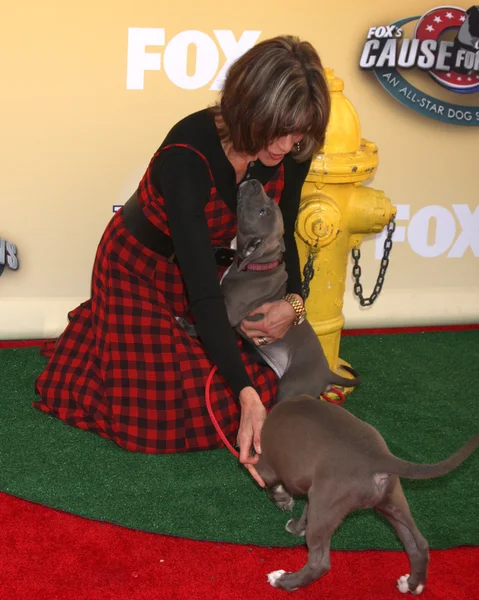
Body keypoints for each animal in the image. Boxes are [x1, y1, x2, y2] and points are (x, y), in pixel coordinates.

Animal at [220, 180, 360, 400]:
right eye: (269, 202)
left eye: (263, 211)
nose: (255, 182)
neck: (258, 266)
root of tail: (327, 372)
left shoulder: (230, 313)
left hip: (291, 386)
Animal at [256, 394, 478, 596]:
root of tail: (378, 457)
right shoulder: (313, 493)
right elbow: (305, 513)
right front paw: (297, 526)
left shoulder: (267, 467)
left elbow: (271, 485)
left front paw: (282, 500)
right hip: (390, 502)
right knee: (418, 544)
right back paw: (413, 585)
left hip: (327, 505)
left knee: (320, 563)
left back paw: (283, 580)